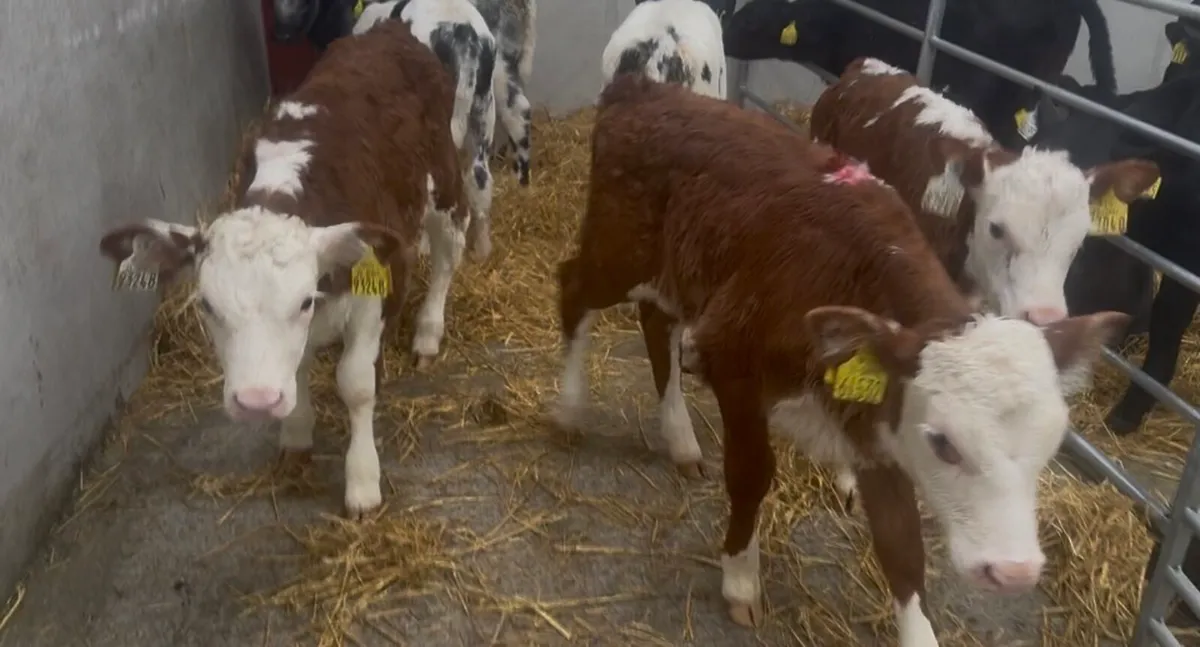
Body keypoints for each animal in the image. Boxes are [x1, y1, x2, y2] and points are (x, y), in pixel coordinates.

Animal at [99, 21, 466, 518]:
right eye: (207, 306)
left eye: (305, 301)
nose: (257, 403)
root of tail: (392, 30)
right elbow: (299, 366)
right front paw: (294, 436)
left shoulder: (376, 287)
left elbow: (356, 384)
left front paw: (362, 481)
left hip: (445, 184)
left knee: (448, 256)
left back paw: (428, 332)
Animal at [551, 71, 1127, 643]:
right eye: (943, 442)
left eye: (1050, 442)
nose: (1014, 571)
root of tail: (641, 88)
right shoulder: (734, 362)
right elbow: (751, 474)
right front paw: (740, 580)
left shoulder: (878, 422)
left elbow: (902, 545)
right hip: (618, 250)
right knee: (574, 288)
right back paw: (570, 410)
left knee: (655, 323)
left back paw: (680, 440)